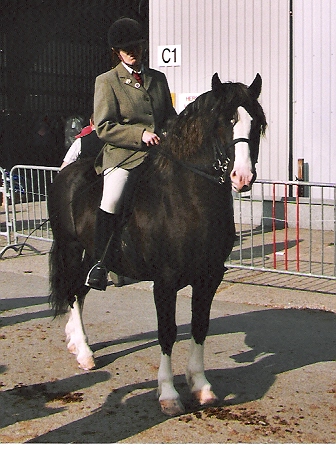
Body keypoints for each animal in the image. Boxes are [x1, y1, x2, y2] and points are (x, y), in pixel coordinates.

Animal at [48, 73, 268, 416]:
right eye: (225, 121)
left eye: (256, 122)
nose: (242, 177)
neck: (188, 198)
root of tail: (65, 172)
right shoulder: (164, 281)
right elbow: (168, 332)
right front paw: (168, 394)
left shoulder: (209, 278)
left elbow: (200, 327)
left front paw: (202, 387)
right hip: (70, 249)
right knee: (72, 293)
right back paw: (83, 352)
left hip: (89, 254)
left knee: (81, 292)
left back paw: (76, 342)